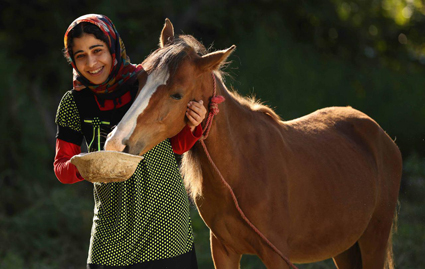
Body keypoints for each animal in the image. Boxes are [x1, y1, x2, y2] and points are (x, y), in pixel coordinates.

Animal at [103, 19, 400, 268]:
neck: (242, 168)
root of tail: (381, 135)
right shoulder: (223, 250)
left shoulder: (277, 255)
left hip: (373, 240)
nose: (117, 144)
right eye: (139, 81)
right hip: (345, 248)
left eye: (177, 94)